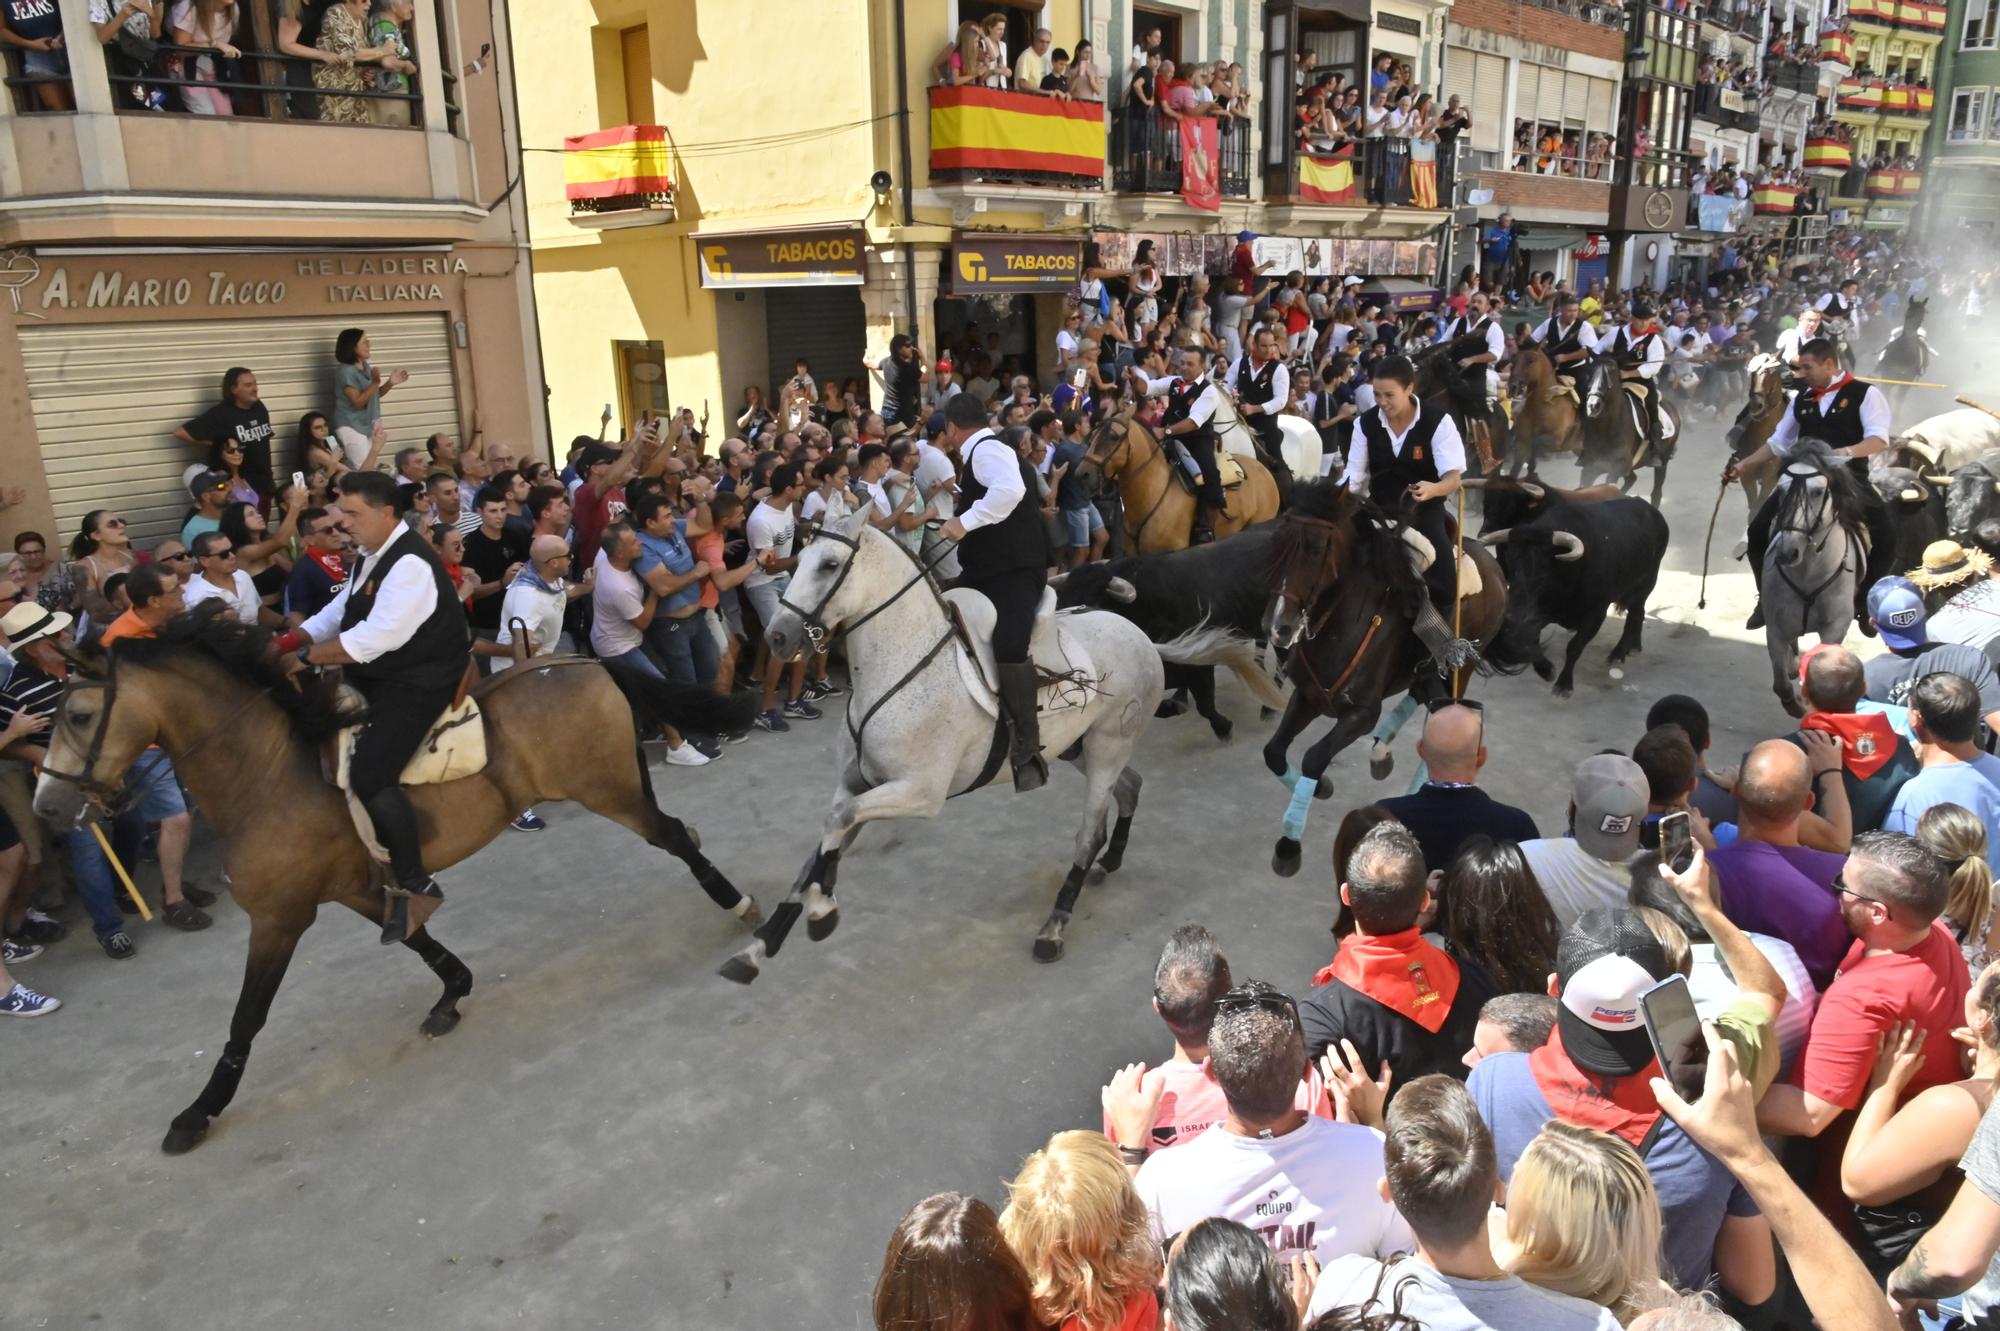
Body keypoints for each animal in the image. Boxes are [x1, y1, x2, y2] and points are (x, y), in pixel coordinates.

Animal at [31, 607, 756, 1151]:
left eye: (78, 717)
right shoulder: (357, 886)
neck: (268, 774)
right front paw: (452, 995)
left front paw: (199, 1110)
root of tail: (584, 661)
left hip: (609, 788)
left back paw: (740, 905)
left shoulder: (281, 916)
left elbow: (247, 1016)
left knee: (676, 836)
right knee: (679, 833)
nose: (48, 809)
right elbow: (416, 938)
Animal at [1056, 519, 1288, 735]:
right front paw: (1176, 705)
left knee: (1283, 659)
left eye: (1094, 603)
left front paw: (1223, 727)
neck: (1148, 606)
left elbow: (1205, 704)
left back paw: (1269, 707)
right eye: (1062, 602)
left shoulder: (1201, 662)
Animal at [1256, 477, 1504, 871]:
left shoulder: (1361, 713)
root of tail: (1493, 566)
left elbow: (1314, 756)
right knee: (1423, 694)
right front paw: (1321, 786)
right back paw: (1381, 753)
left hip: (1459, 668)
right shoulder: (1308, 696)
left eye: (1316, 548)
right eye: (1276, 542)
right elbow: (1274, 751)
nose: (1276, 626)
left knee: (1444, 709)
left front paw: (1288, 843)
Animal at [1472, 477, 1672, 695]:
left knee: (1635, 615)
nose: (1514, 612)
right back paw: (1634, 646)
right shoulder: (1540, 614)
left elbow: (1574, 647)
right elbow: (1530, 643)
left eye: (1544, 566)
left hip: (1645, 585)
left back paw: (1619, 653)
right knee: (1639, 613)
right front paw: (1547, 670)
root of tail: (1651, 510)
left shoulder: (1595, 615)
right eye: (1511, 561)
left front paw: (1563, 684)